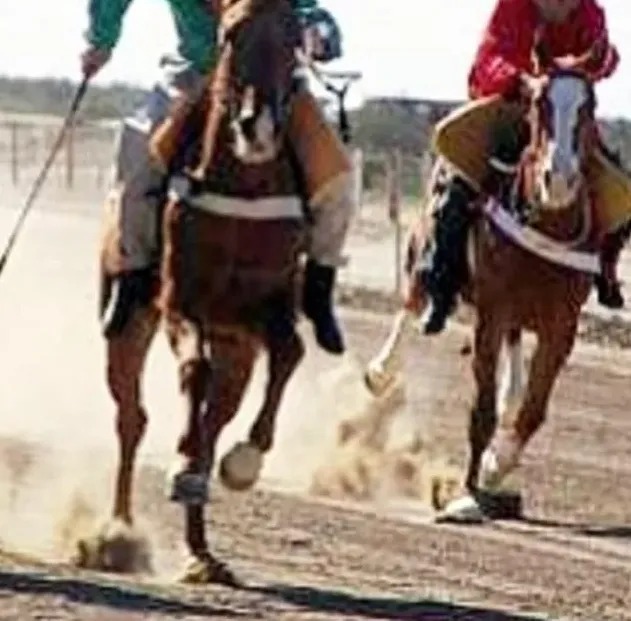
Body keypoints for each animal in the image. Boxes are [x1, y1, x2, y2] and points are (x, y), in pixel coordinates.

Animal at [366, 61, 604, 520]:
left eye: (590, 106)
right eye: (539, 103)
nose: (559, 179)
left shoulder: (561, 326)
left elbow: (533, 410)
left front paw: (496, 467)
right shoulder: (491, 314)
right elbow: (482, 411)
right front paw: (468, 493)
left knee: (514, 374)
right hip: (422, 256)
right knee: (411, 304)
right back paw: (381, 370)